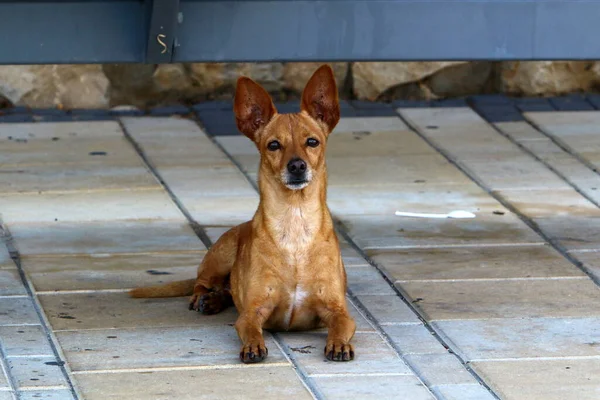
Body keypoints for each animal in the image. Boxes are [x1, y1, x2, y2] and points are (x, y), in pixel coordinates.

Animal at [130, 65, 356, 362]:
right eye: (274, 145)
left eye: (312, 142)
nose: (297, 166)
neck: (295, 223)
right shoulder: (253, 311)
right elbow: (249, 327)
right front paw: (253, 346)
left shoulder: (337, 310)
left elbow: (340, 324)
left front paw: (339, 344)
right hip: (221, 256)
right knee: (203, 282)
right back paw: (204, 298)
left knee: (225, 290)